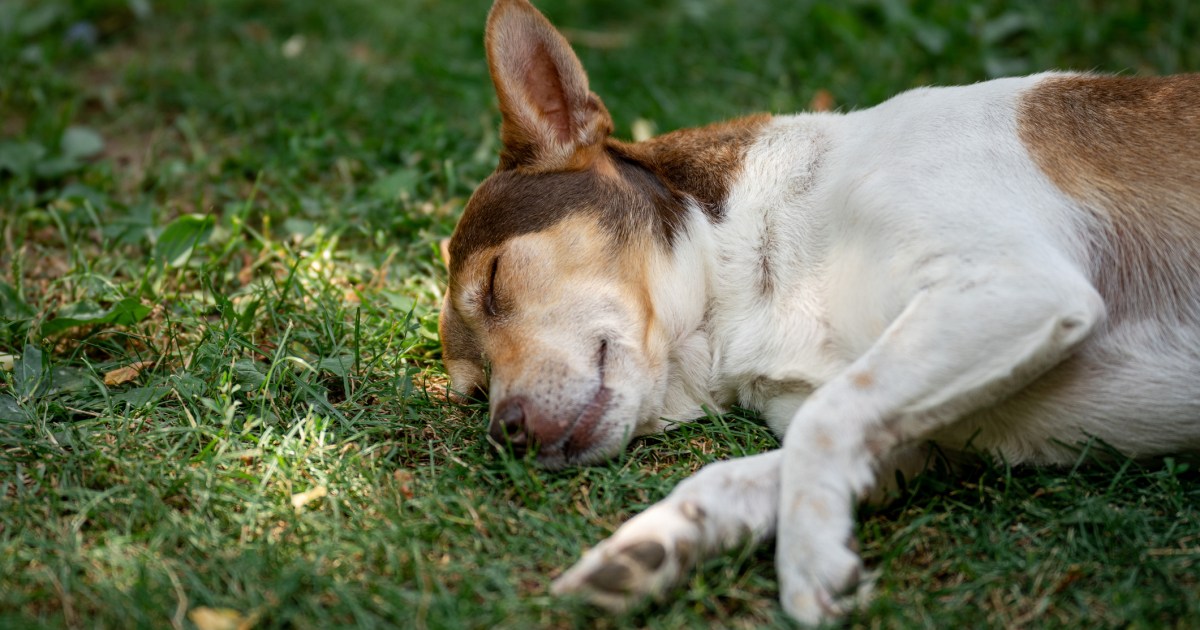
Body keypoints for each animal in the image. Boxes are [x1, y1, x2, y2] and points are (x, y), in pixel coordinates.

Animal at [436, 0, 1200, 619]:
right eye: (473, 393)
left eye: (496, 284)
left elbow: (825, 419)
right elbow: (752, 469)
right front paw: (651, 545)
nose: (505, 434)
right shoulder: (910, 443)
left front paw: (804, 564)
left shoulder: (1016, 284)